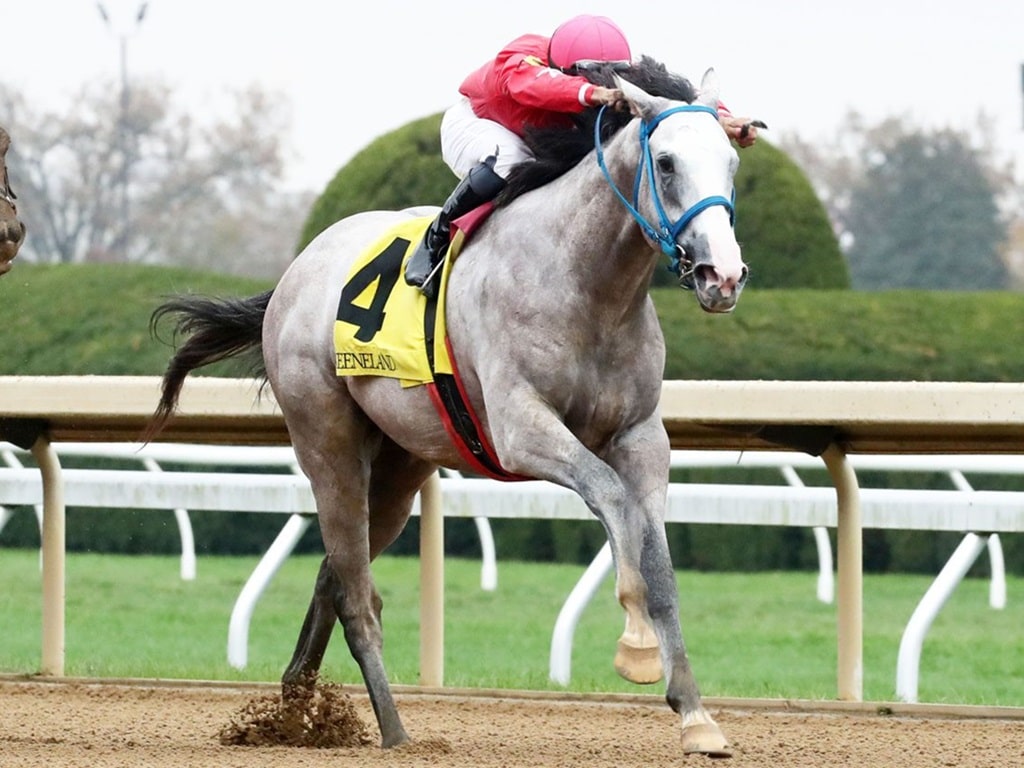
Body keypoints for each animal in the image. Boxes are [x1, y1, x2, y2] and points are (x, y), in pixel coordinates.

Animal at [149, 70, 745, 757]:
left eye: (731, 163)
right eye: (667, 163)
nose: (724, 275)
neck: (586, 284)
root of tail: (295, 273)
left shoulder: (642, 437)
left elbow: (662, 568)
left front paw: (696, 714)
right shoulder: (521, 428)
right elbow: (612, 497)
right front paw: (638, 645)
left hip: (401, 465)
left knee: (336, 573)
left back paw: (295, 713)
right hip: (327, 441)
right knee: (357, 596)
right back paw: (394, 731)